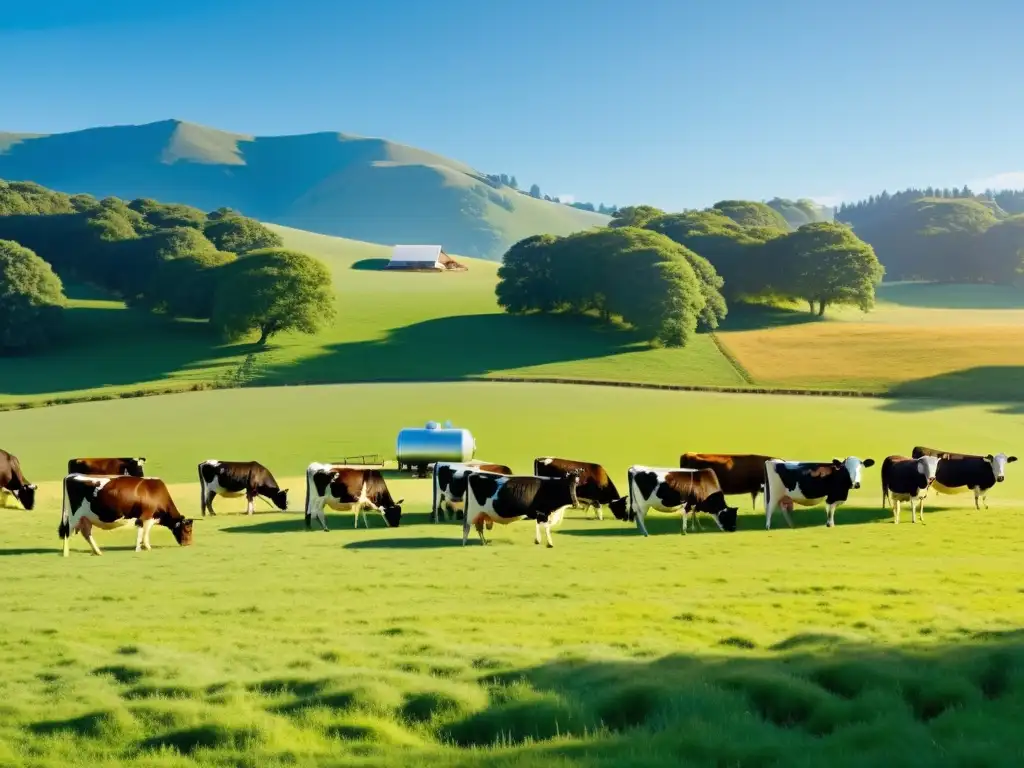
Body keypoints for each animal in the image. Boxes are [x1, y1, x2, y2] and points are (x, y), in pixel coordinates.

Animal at [58, 473, 192, 557]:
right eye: (187, 529)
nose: (189, 544)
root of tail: (71, 475)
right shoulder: (146, 516)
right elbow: (144, 534)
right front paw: (144, 548)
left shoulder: (146, 518)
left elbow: (142, 533)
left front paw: (141, 548)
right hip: (73, 516)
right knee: (67, 532)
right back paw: (66, 554)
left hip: (85, 518)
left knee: (86, 533)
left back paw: (98, 552)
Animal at [606, 466, 737, 536]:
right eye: (729, 517)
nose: (734, 529)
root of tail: (634, 468)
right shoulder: (688, 503)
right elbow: (686, 515)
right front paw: (685, 531)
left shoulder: (695, 504)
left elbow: (695, 515)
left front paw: (698, 528)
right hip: (642, 504)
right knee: (640, 516)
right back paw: (646, 533)